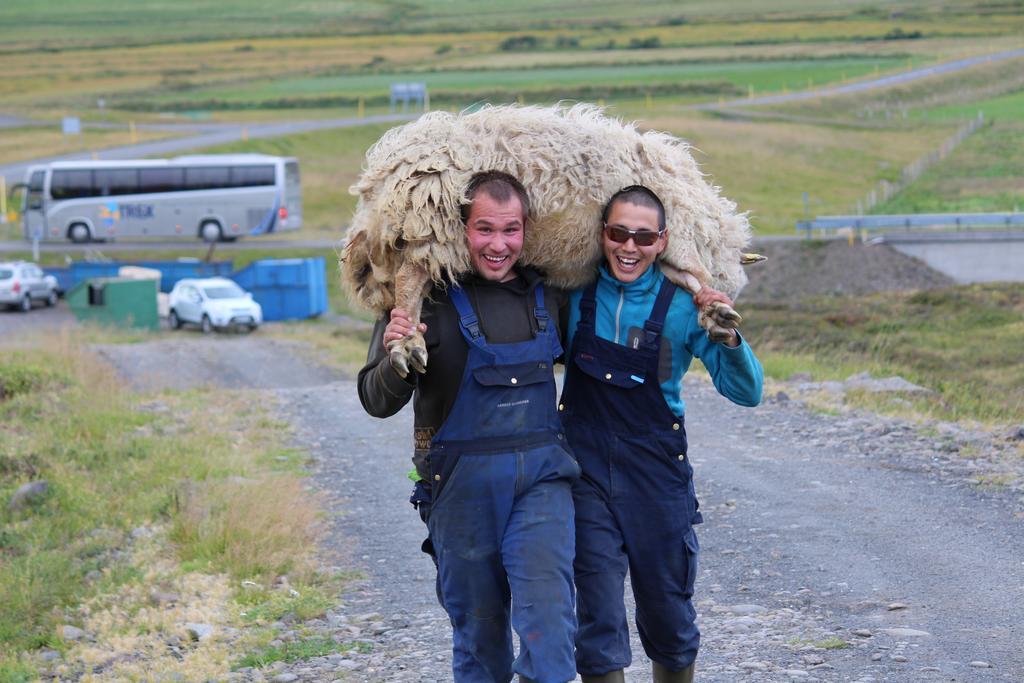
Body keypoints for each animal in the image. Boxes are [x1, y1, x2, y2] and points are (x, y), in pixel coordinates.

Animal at [342, 104, 761, 376]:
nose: (730, 296)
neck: (711, 226)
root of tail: (379, 181)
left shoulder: (671, 253)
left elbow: (690, 279)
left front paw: (716, 314)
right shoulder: (681, 234)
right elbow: (697, 274)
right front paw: (717, 310)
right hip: (431, 221)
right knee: (410, 280)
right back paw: (407, 343)